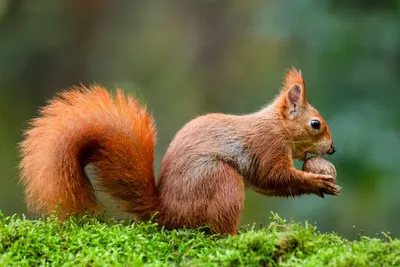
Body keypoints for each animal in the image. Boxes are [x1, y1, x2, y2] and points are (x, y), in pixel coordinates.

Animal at [18, 68, 340, 236]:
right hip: (221, 181)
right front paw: (318, 182)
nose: (333, 149)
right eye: (315, 124)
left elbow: (268, 184)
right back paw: (234, 236)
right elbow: (273, 177)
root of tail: (166, 212)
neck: (277, 126)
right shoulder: (267, 146)